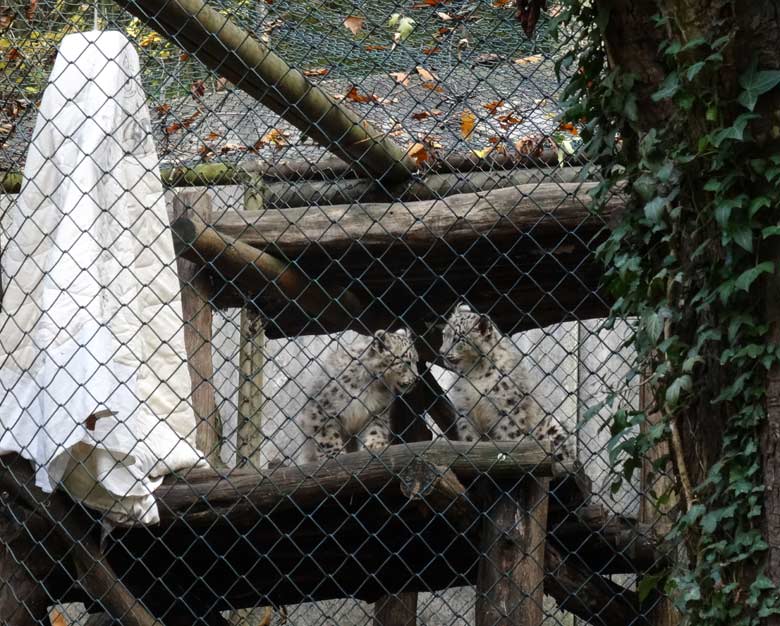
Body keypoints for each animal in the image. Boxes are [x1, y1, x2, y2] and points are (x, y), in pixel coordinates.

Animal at [298, 330, 418, 460]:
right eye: (407, 362)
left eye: (416, 361)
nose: (417, 379)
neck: (372, 386)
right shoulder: (322, 408)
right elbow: (327, 433)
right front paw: (333, 453)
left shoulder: (378, 409)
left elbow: (377, 427)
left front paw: (376, 445)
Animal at [438, 302, 572, 458]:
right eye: (444, 334)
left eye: (459, 339)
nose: (441, 352)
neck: (474, 373)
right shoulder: (464, 410)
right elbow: (469, 439)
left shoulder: (508, 409)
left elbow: (508, 437)